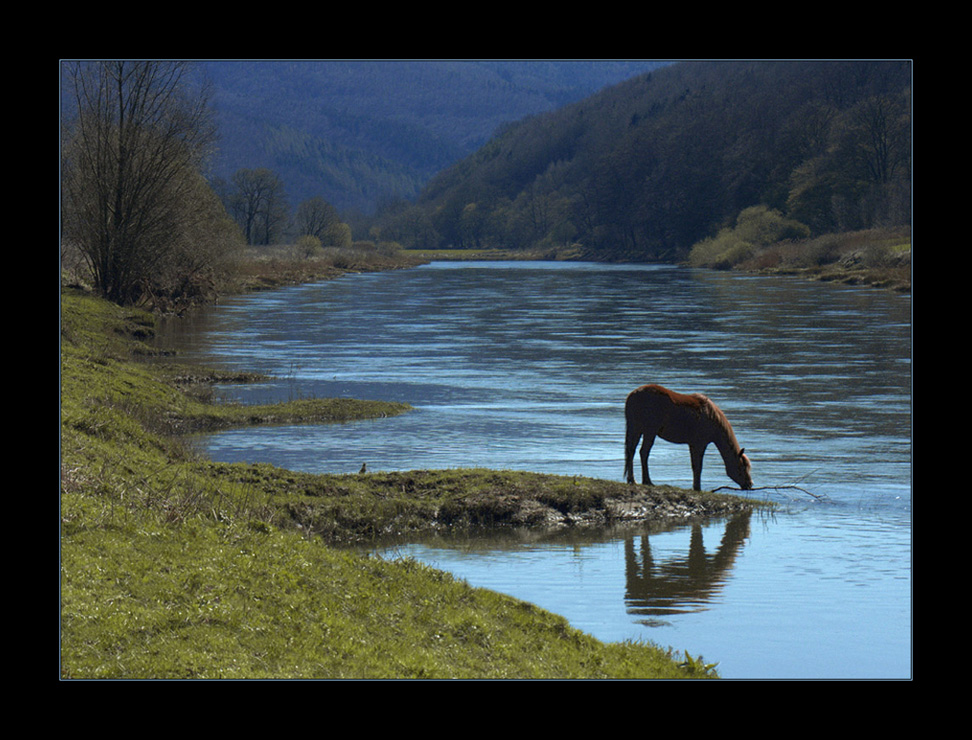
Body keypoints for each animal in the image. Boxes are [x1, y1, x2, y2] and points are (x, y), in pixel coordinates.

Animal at [628, 388, 756, 492]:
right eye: (742, 467)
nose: (749, 484)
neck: (711, 417)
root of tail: (634, 394)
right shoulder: (700, 445)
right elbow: (698, 467)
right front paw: (697, 488)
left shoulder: (692, 444)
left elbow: (694, 466)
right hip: (649, 432)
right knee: (643, 452)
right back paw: (647, 481)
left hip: (636, 430)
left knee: (631, 451)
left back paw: (632, 480)